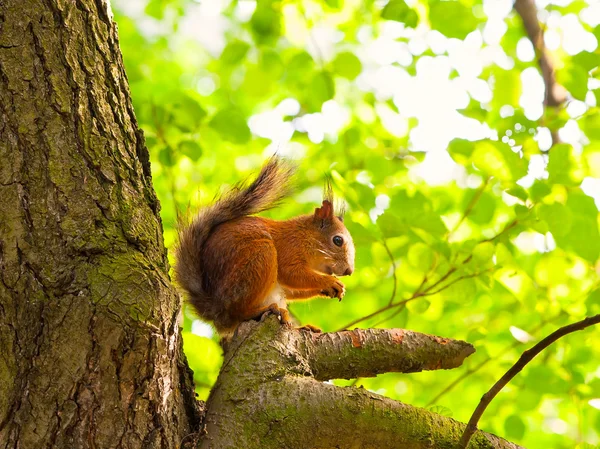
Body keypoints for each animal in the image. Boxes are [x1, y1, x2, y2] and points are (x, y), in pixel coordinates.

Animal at [173, 156, 354, 334]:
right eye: (338, 240)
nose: (349, 271)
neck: (304, 236)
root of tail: (217, 312)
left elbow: (292, 289)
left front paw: (328, 289)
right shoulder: (289, 247)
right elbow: (291, 273)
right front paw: (329, 282)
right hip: (258, 260)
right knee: (238, 313)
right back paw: (263, 311)